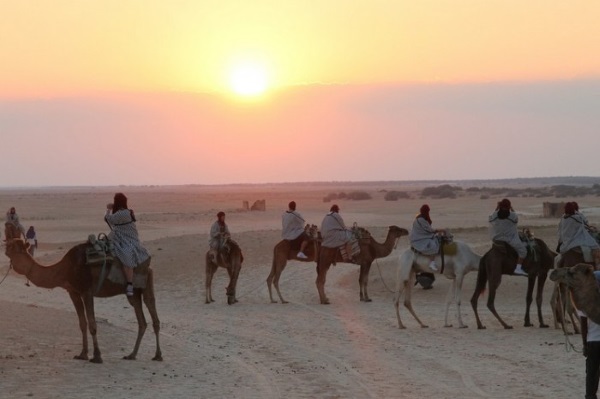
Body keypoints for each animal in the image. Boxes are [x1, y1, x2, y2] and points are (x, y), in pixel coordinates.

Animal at [4, 239, 162, 364]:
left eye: (12, 246)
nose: (4, 248)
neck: (65, 269)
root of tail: (148, 265)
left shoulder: (87, 291)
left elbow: (92, 324)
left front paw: (97, 356)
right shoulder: (73, 292)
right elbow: (82, 323)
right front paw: (82, 354)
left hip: (145, 282)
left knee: (153, 312)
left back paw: (157, 355)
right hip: (134, 293)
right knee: (142, 321)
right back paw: (132, 355)